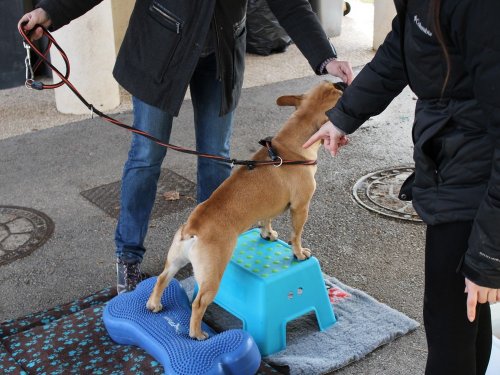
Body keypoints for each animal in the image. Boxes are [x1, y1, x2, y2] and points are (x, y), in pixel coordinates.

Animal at [146, 80, 346, 340]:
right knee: (199, 303)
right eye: (337, 91)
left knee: (162, 278)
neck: (290, 147)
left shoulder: (269, 207)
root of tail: (193, 227)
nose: (342, 81)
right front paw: (299, 253)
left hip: (176, 260)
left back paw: (154, 304)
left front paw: (267, 234)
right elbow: (296, 235)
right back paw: (197, 333)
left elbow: (266, 220)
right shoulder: (301, 208)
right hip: (213, 274)